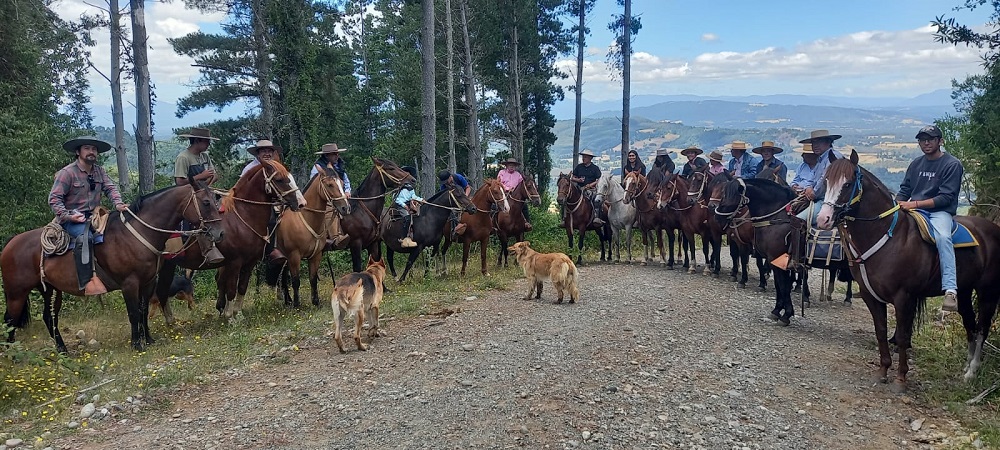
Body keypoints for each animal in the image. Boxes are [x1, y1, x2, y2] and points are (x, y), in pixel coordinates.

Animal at [3, 179, 223, 352]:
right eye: (205, 202)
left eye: (215, 200)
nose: (219, 233)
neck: (137, 233)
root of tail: (9, 245)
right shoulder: (129, 284)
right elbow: (133, 313)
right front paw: (136, 344)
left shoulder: (148, 282)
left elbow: (143, 311)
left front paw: (148, 339)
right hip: (16, 293)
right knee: (9, 321)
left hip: (50, 290)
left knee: (49, 318)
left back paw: (62, 349)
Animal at [152, 160, 300, 322]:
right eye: (279, 179)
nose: (299, 202)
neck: (242, 217)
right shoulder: (234, 262)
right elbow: (231, 289)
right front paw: (230, 318)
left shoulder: (249, 262)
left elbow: (241, 287)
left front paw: (238, 314)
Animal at [274, 167, 352, 308]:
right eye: (330, 185)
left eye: (343, 183)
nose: (346, 208)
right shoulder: (294, 256)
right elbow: (296, 280)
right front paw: (297, 304)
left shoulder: (316, 255)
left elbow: (313, 278)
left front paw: (315, 301)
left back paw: (288, 300)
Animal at [816, 150, 1000, 390]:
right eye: (826, 180)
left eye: (847, 184)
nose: (823, 219)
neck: (888, 236)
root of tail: (993, 229)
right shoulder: (870, 296)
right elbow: (881, 331)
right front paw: (883, 370)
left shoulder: (904, 297)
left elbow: (903, 336)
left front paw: (901, 378)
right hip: (965, 292)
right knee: (970, 325)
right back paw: (967, 368)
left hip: (988, 293)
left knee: (982, 328)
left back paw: (972, 371)